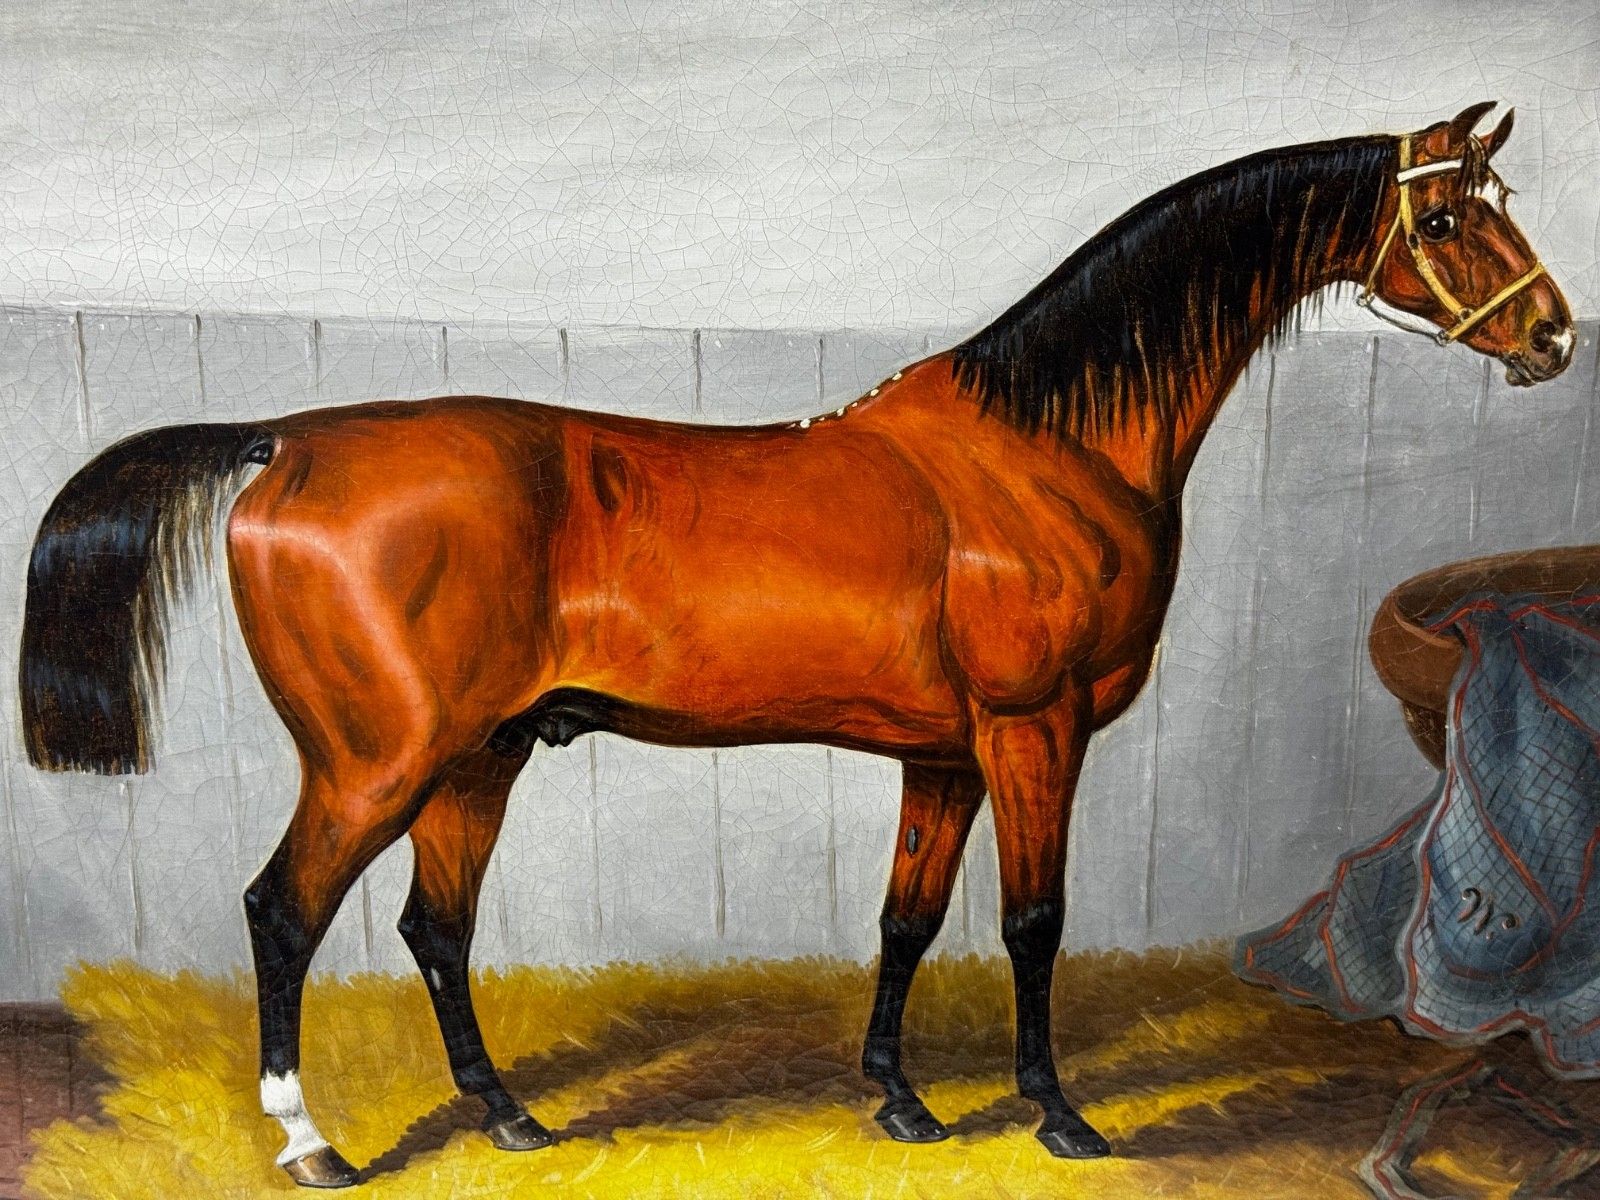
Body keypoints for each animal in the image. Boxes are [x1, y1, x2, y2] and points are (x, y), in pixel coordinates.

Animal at [17, 102, 1573, 1187]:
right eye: (1449, 222)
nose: (1553, 339)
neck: (1045, 445)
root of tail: (289, 442)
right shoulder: (1033, 729)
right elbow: (1034, 920)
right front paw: (1058, 1115)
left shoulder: (944, 756)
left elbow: (904, 921)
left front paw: (899, 1099)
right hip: (375, 762)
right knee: (284, 913)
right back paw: (311, 1144)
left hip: (478, 756)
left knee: (433, 928)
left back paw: (511, 1117)